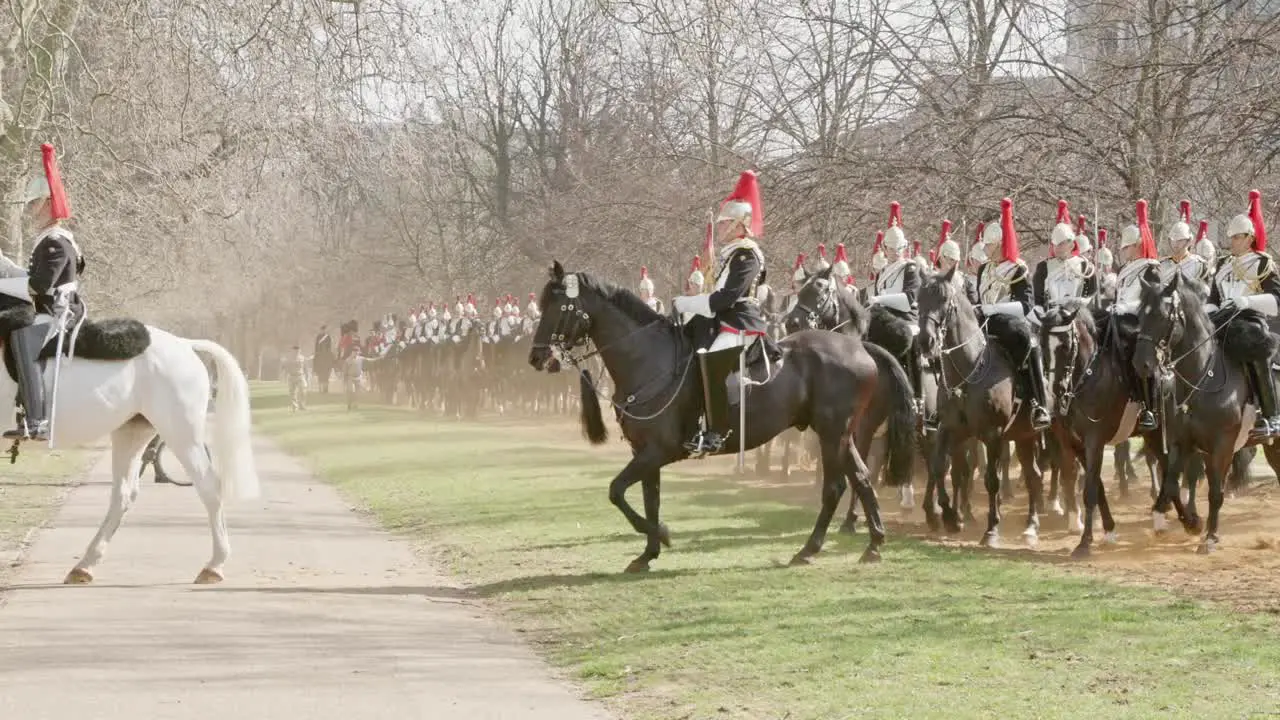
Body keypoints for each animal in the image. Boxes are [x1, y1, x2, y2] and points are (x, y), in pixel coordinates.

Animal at [0, 278, 257, 579]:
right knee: (123, 495)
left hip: (181, 433)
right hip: (132, 432)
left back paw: (214, 565)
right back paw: (85, 564)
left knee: (209, 487)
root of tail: (185, 345)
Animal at [529, 260, 921, 568]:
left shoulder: (656, 451)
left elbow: (617, 491)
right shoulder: (646, 453)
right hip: (843, 434)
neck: (647, 359)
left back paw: (809, 549)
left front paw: (663, 537)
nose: (536, 357)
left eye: (560, 306)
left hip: (831, 433)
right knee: (863, 478)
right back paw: (873, 544)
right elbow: (649, 500)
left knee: (836, 486)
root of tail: (861, 346)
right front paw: (649, 552)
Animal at [921, 267, 1049, 543]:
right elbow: (940, 468)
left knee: (1033, 475)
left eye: (944, 300)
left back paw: (1032, 526)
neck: (969, 372)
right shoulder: (950, 430)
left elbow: (991, 479)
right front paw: (950, 517)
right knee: (1031, 474)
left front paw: (991, 529)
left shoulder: (992, 434)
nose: (926, 341)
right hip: (1020, 436)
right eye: (918, 298)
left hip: (1030, 434)